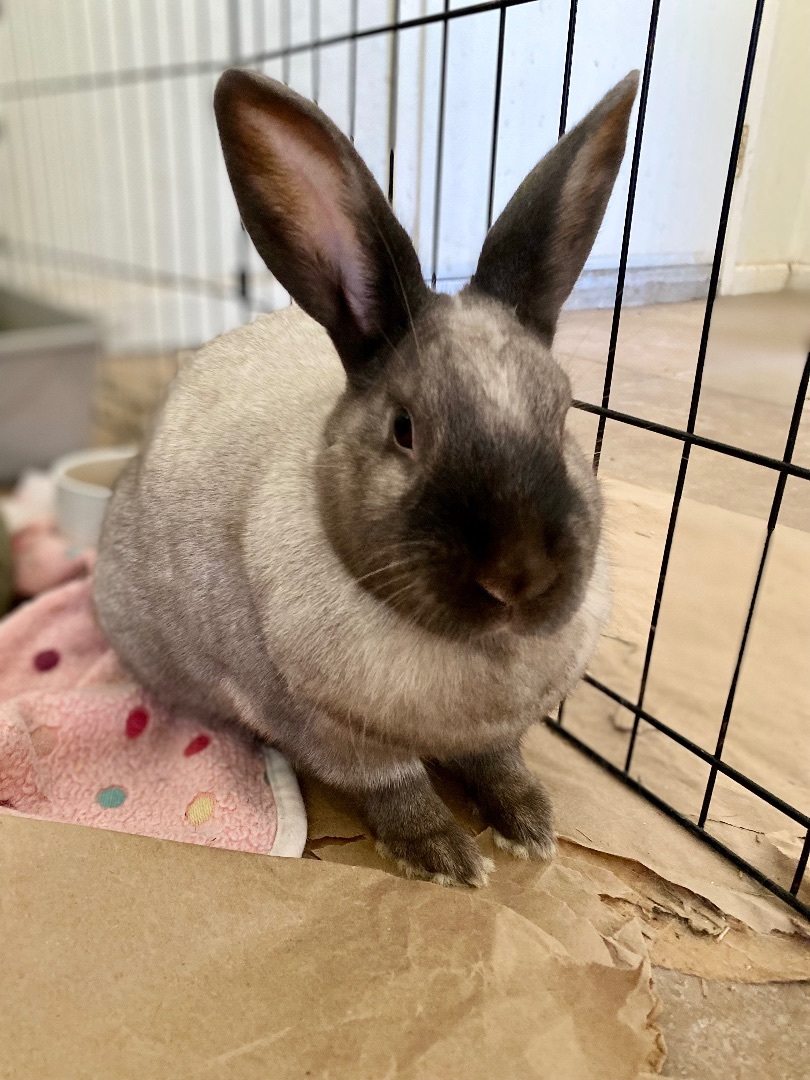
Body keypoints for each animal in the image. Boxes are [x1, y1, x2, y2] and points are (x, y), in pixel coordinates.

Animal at [94, 67, 639, 887]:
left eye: (563, 412)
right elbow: (397, 789)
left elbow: (500, 764)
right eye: (404, 428)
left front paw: (530, 826)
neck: (481, 655)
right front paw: (444, 856)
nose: (519, 575)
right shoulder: (336, 737)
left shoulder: (496, 733)